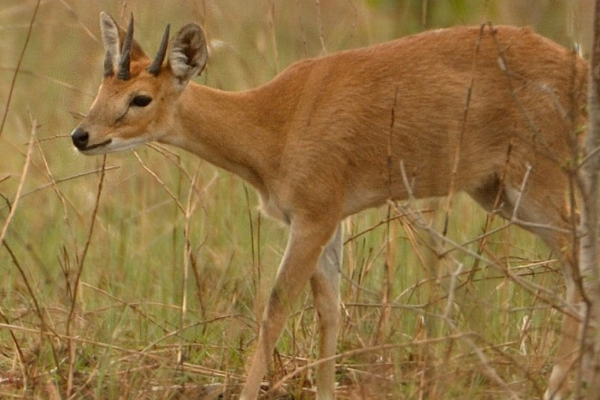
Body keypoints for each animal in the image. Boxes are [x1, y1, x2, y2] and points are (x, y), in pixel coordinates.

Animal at [72, 12, 588, 400]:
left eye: (141, 98)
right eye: (101, 90)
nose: (82, 136)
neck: (273, 123)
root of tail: (576, 66)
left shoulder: (312, 220)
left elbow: (275, 308)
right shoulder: (329, 223)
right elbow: (330, 311)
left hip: (536, 181)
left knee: (576, 257)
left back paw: (558, 385)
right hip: (498, 193)